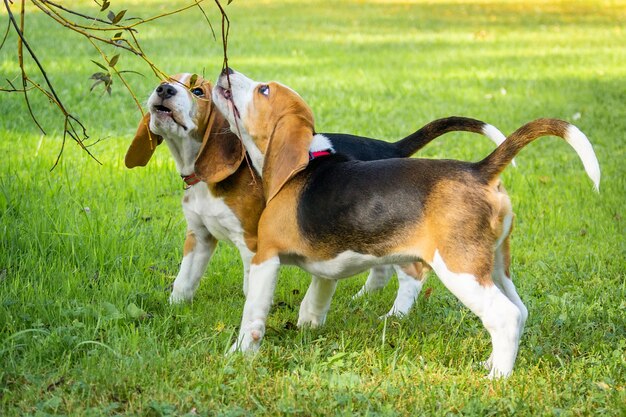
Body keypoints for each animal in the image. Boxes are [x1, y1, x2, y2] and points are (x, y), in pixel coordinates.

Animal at [123, 73, 508, 316]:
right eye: (169, 80)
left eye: (197, 91)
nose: (164, 90)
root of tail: (389, 147)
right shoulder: (199, 236)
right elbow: (183, 280)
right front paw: (173, 309)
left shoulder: (252, 243)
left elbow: (251, 289)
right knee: (383, 270)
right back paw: (363, 299)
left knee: (411, 273)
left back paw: (393, 314)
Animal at [211, 69, 600, 376]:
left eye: (263, 90)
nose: (225, 70)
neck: (302, 165)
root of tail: (478, 169)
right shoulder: (326, 267)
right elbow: (315, 299)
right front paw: (307, 327)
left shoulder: (266, 257)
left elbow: (253, 313)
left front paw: (239, 352)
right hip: (494, 265)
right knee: (519, 310)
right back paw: (491, 363)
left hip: (459, 268)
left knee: (504, 316)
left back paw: (498, 377)